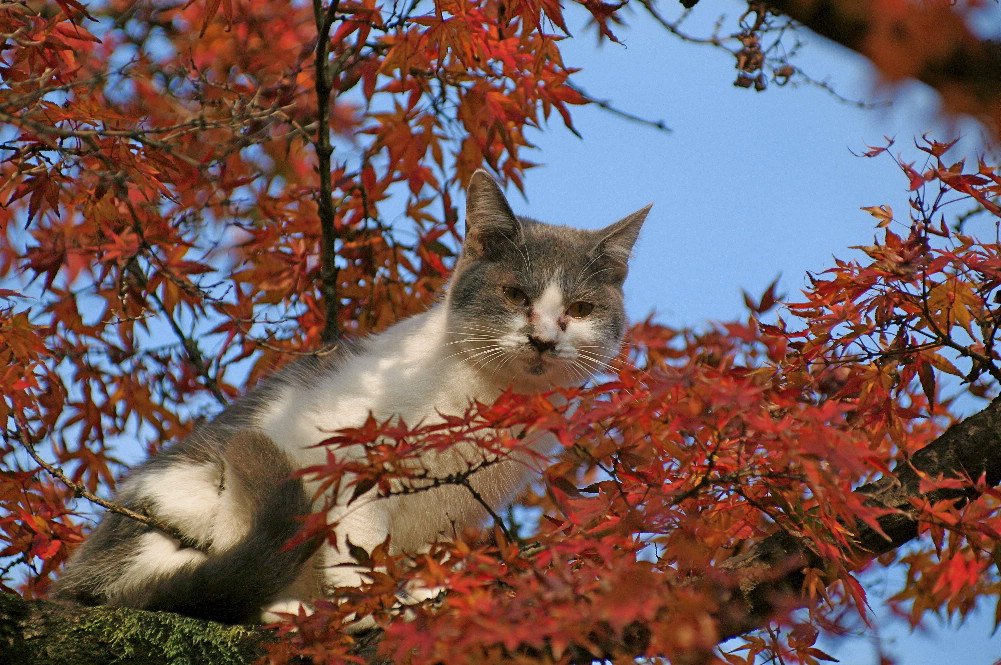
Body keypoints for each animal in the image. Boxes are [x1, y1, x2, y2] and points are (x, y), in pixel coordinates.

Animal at [52, 170, 648, 624]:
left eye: (581, 309)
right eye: (515, 295)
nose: (543, 339)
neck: (491, 403)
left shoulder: (453, 509)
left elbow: (422, 554)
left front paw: (426, 595)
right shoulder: (352, 456)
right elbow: (361, 550)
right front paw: (368, 608)